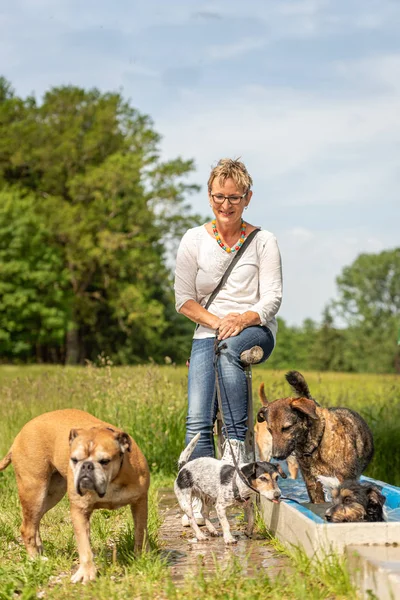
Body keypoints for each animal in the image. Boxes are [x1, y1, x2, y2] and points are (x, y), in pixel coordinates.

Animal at [0, 410, 149, 584]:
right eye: (75, 459)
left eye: (105, 461)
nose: (86, 466)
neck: (113, 479)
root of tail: (19, 435)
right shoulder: (79, 510)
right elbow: (84, 545)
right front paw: (87, 573)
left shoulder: (140, 502)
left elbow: (140, 532)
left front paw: (141, 558)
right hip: (34, 491)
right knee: (27, 528)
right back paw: (34, 559)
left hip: (51, 495)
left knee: (33, 522)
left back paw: (40, 552)